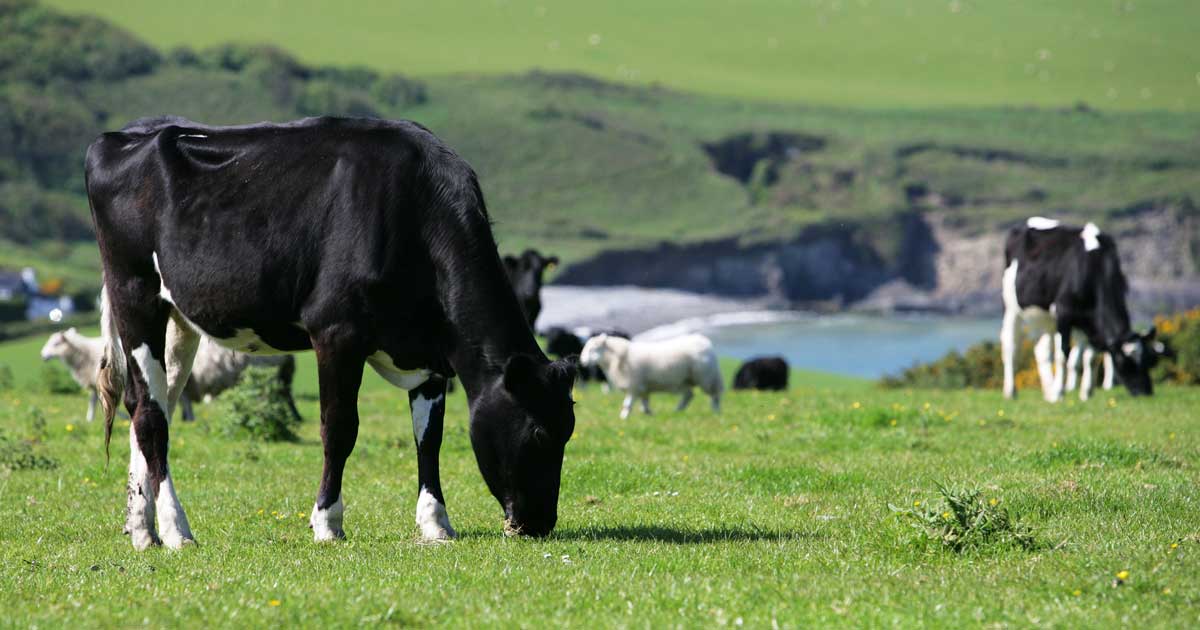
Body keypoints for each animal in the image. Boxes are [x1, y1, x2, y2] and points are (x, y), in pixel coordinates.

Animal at [87, 115, 578, 547]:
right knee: (150, 417)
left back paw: (141, 529)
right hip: (135, 294)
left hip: (178, 320)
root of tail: (123, 135)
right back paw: (175, 530)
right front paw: (327, 522)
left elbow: (429, 438)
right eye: (538, 432)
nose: (539, 522)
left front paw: (436, 523)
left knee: (150, 405)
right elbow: (339, 428)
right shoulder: (336, 331)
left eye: (568, 430)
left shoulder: (430, 354)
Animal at [578, 333, 720, 417]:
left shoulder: (634, 385)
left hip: (706, 377)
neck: (620, 357)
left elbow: (627, 404)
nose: (583, 362)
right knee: (689, 395)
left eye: (593, 349)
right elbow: (644, 402)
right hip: (684, 380)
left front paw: (623, 417)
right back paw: (677, 411)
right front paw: (648, 414)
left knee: (714, 394)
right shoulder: (642, 387)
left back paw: (716, 411)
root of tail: (705, 341)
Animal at [1003, 218, 1161, 400]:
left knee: (1042, 350)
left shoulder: (1087, 321)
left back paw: (1048, 391)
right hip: (1012, 307)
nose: (1146, 392)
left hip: (1044, 317)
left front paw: (1086, 392)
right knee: (1010, 345)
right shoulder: (1063, 312)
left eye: (1147, 358)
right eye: (1123, 361)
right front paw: (1059, 393)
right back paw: (1012, 391)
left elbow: (1088, 358)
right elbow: (1063, 354)